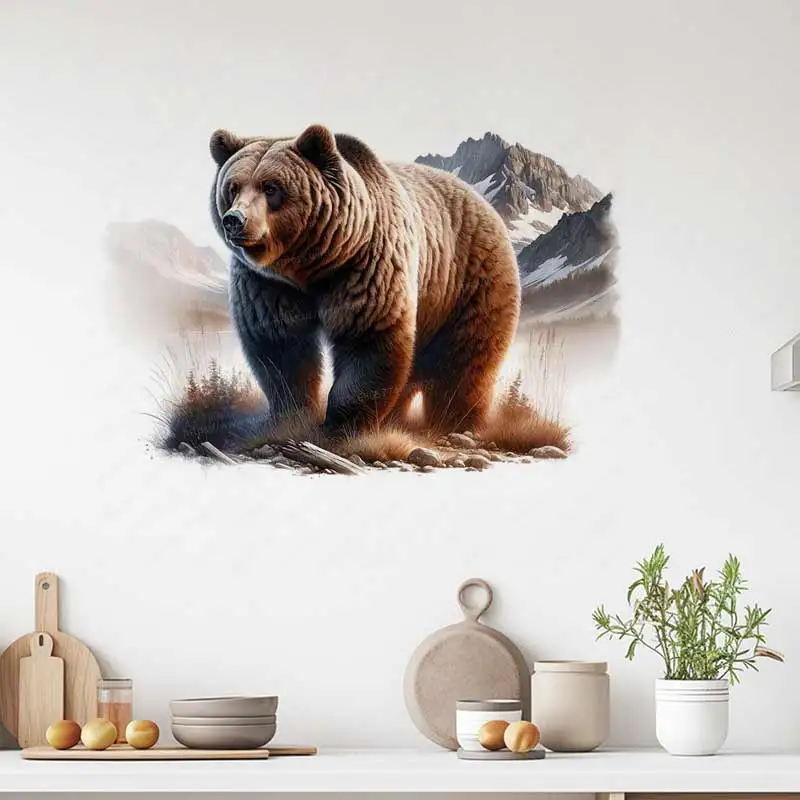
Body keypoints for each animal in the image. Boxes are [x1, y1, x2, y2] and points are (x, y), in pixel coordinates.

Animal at [209, 124, 521, 437]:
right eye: (233, 187)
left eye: (271, 187)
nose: (234, 219)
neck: (311, 266)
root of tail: (485, 205)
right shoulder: (267, 284)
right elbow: (280, 347)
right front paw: (292, 416)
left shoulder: (367, 263)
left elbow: (367, 338)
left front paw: (342, 424)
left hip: (469, 279)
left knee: (461, 363)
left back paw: (453, 423)